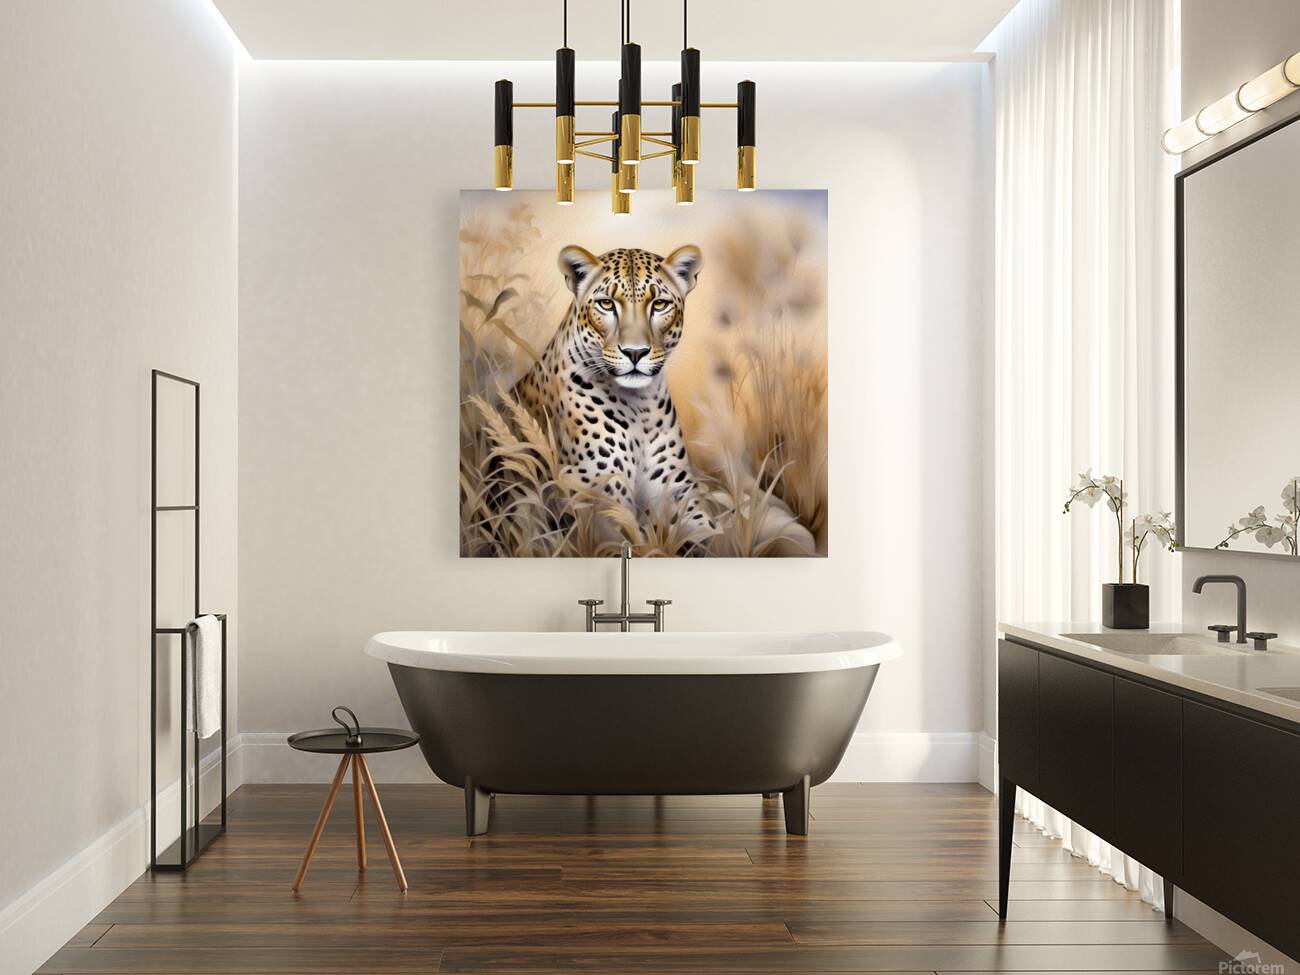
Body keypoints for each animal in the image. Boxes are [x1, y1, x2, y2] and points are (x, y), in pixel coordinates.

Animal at [514, 244, 717, 541]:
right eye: (607, 304)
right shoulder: (601, 498)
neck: (640, 407)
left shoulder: (677, 490)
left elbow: (713, 535)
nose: (635, 352)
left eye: (659, 304)